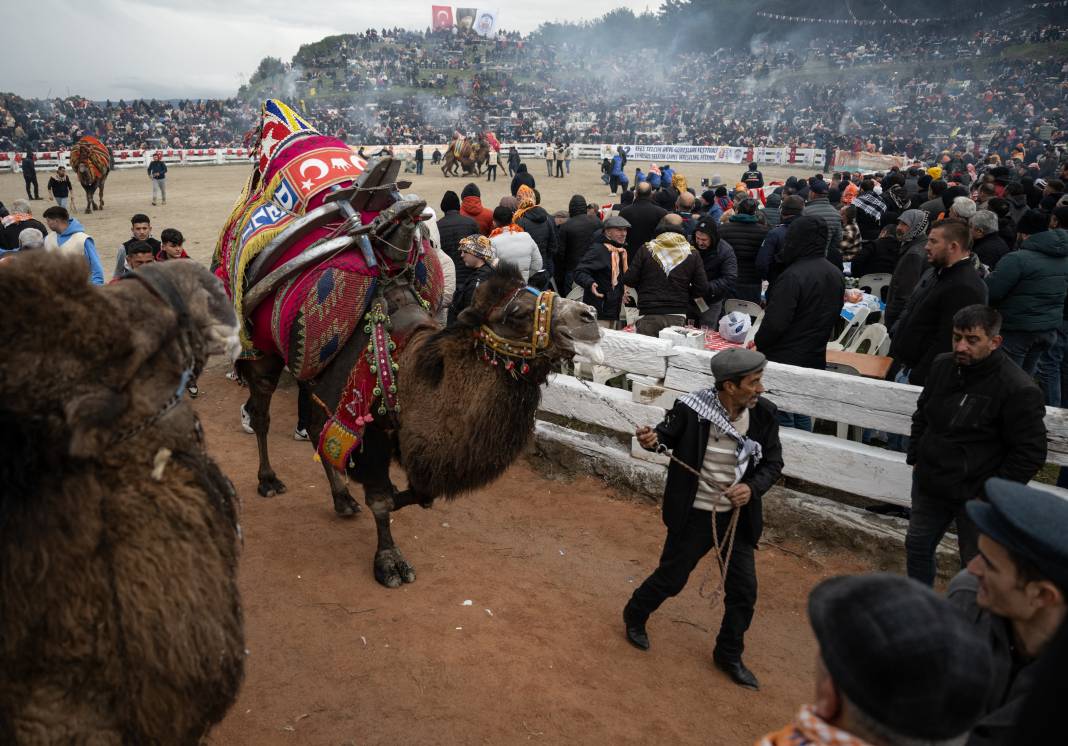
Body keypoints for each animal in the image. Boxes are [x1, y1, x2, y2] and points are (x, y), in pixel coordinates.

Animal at [215, 100, 602, 589]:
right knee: (264, 413)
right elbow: (382, 497)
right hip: (262, 350)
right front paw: (389, 560)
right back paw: (268, 479)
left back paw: (341, 499)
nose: (588, 319)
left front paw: (370, 499)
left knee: (313, 418)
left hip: (310, 366)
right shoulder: (368, 420)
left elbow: (416, 491)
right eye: (514, 313)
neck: (408, 369)